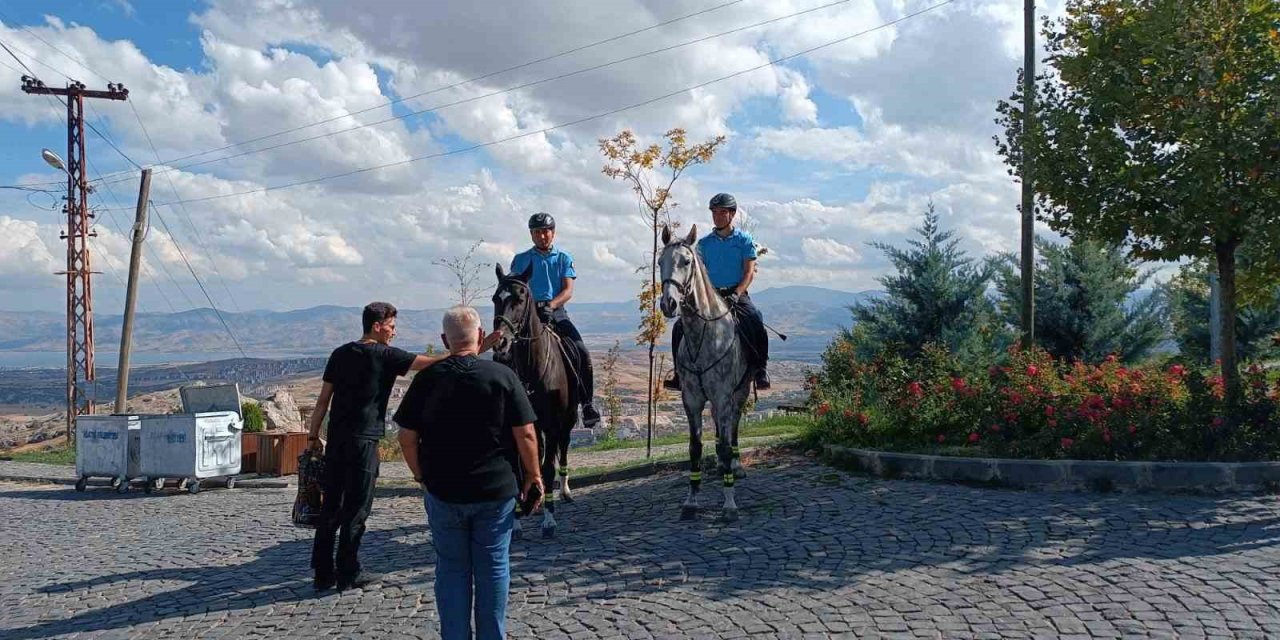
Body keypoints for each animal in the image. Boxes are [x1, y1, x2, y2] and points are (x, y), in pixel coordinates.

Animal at [491, 262, 578, 537]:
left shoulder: (551, 424)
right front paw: (516, 521)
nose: (501, 343)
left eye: (520, 298)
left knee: (562, 449)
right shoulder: (513, 428)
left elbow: (548, 468)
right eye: (496, 299)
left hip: (567, 420)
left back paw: (564, 492)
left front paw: (549, 520)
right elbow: (518, 470)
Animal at [660, 224, 747, 519]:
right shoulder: (692, 400)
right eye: (660, 262)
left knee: (732, 429)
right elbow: (695, 447)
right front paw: (691, 500)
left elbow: (725, 445)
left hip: (739, 393)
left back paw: (735, 467)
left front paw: (730, 504)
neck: (704, 333)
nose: (669, 304)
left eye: (687, 262)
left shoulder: (723, 395)